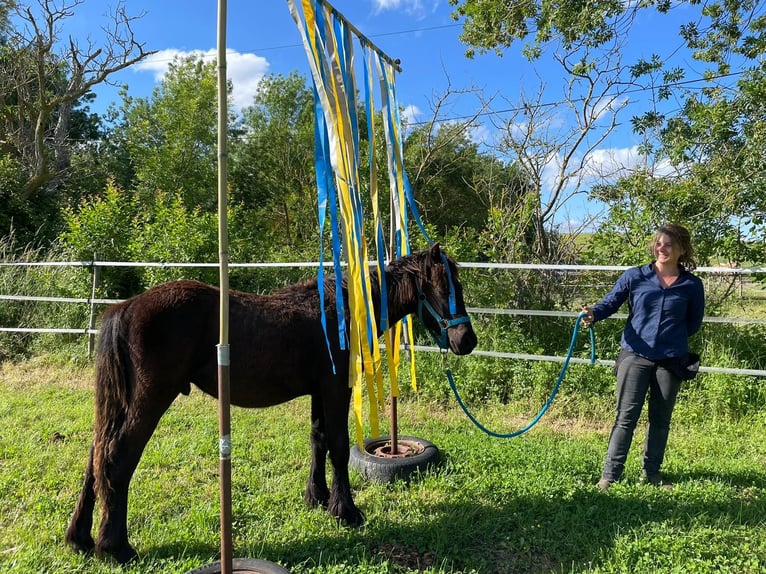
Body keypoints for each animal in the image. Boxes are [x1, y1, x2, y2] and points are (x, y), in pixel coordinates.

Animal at [66, 245, 476, 564]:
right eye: (444, 286)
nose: (466, 340)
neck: (340, 313)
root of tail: (125, 308)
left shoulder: (318, 392)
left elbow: (318, 441)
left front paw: (317, 498)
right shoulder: (335, 389)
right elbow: (339, 447)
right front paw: (346, 511)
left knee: (96, 455)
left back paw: (81, 538)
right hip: (148, 400)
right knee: (117, 458)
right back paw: (116, 547)